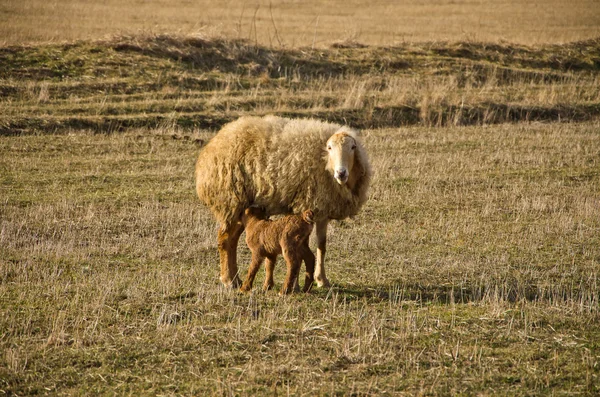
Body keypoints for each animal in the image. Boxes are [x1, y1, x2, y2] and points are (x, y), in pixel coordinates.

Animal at [195, 114, 370, 288]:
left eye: (353, 147)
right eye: (329, 148)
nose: (341, 173)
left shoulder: (322, 208)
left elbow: (322, 245)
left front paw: (322, 279)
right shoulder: (307, 205)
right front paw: (297, 284)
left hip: (239, 207)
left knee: (232, 241)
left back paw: (235, 279)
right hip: (230, 201)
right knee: (224, 240)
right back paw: (228, 280)